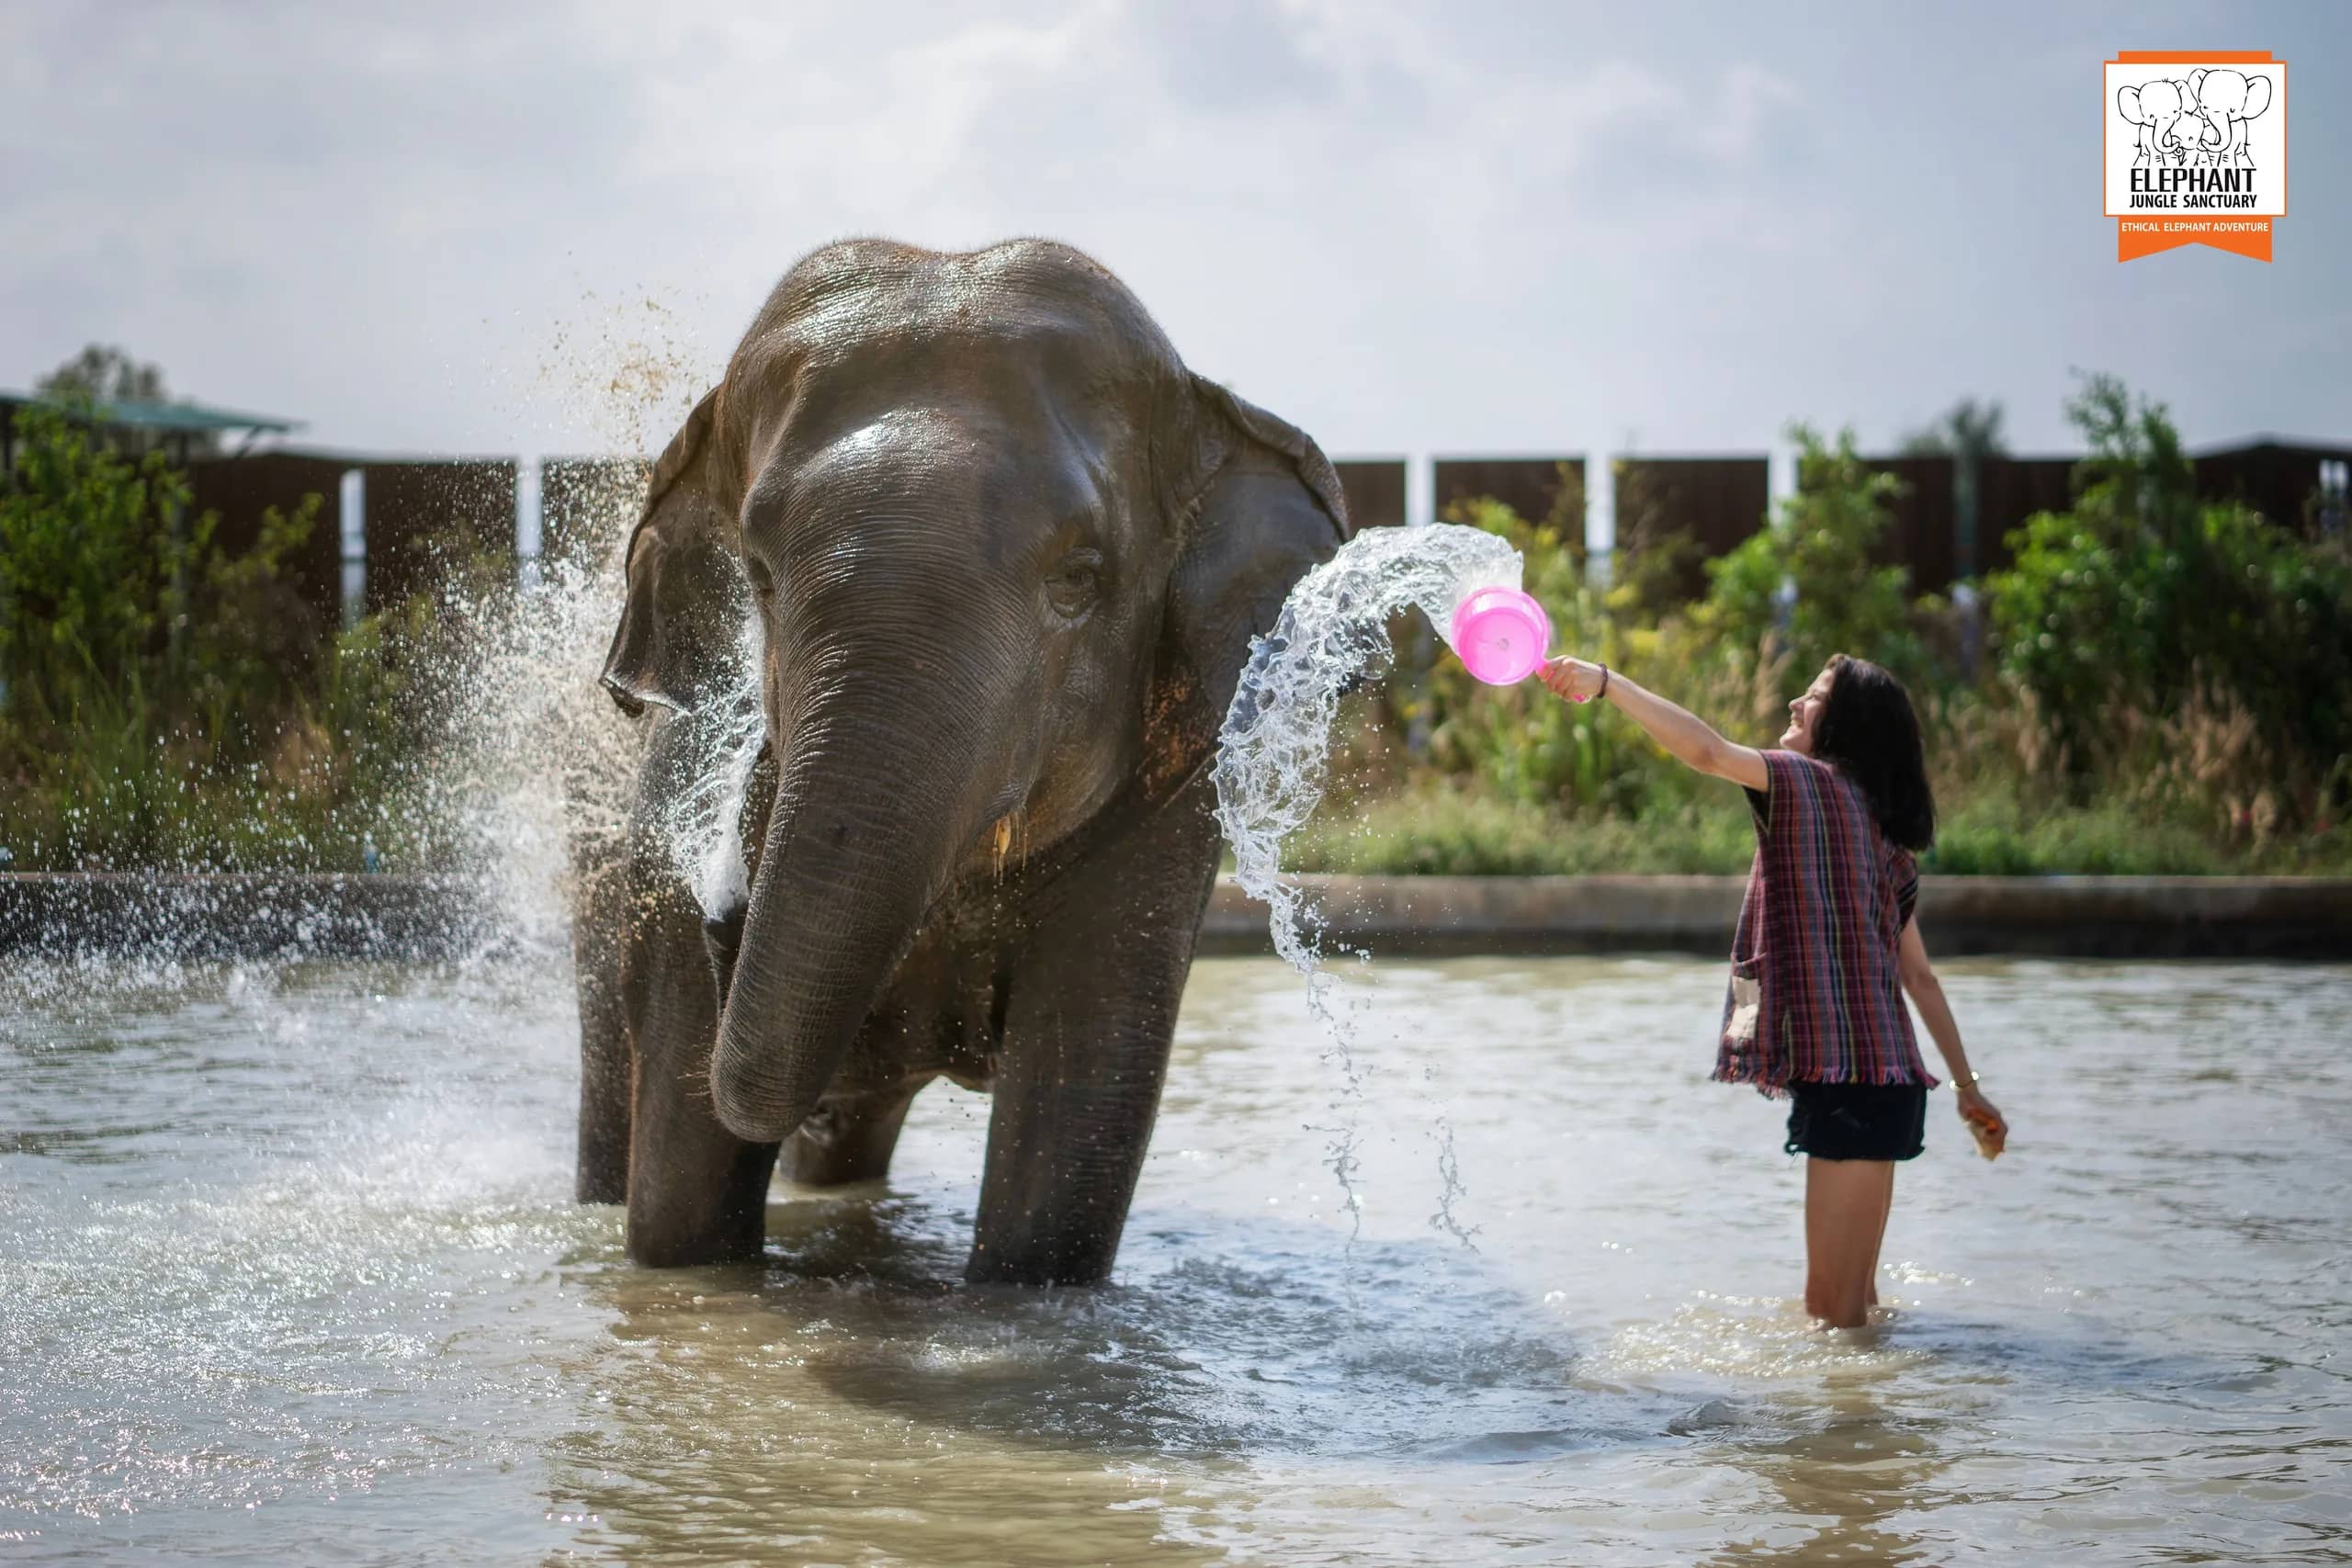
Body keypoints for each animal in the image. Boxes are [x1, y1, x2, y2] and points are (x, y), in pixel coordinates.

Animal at [568, 238, 1353, 1285]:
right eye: (759, 578)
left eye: (1081, 579)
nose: (722, 902)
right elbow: (681, 1209)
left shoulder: (1162, 816)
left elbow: (1071, 1134)